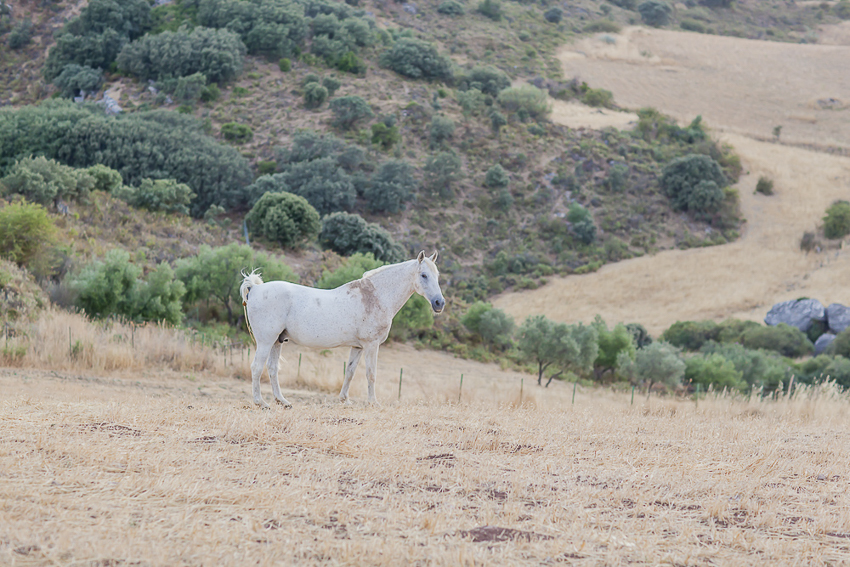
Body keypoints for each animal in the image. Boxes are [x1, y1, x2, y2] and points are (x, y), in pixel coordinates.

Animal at [238, 253, 444, 408]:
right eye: (423, 275)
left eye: (437, 275)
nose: (439, 303)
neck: (376, 296)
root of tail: (255, 288)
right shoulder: (371, 345)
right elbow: (371, 373)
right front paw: (373, 403)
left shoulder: (358, 347)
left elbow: (350, 372)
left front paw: (345, 400)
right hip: (266, 341)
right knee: (257, 368)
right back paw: (261, 403)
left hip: (277, 341)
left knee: (273, 369)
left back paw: (283, 401)